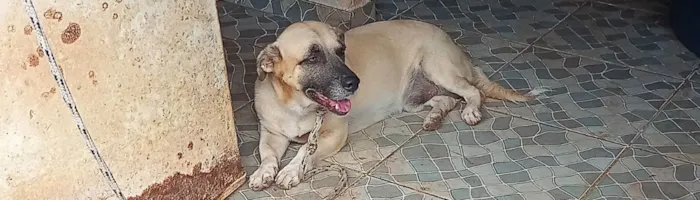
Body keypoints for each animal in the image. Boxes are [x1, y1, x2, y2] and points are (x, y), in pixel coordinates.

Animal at [249, 19, 544, 191]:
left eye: (340, 51)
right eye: (312, 57)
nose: (355, 82)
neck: (297, 106)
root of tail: (454, 45)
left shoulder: (334, 135)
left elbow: (304, 152)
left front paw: (290, 170)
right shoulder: (271, 133)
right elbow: (267, 154)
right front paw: (264, 172)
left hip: (439, 68)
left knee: (471, 91)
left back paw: (470, 110)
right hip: (412, 99)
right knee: (446, 100)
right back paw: (434, 117)